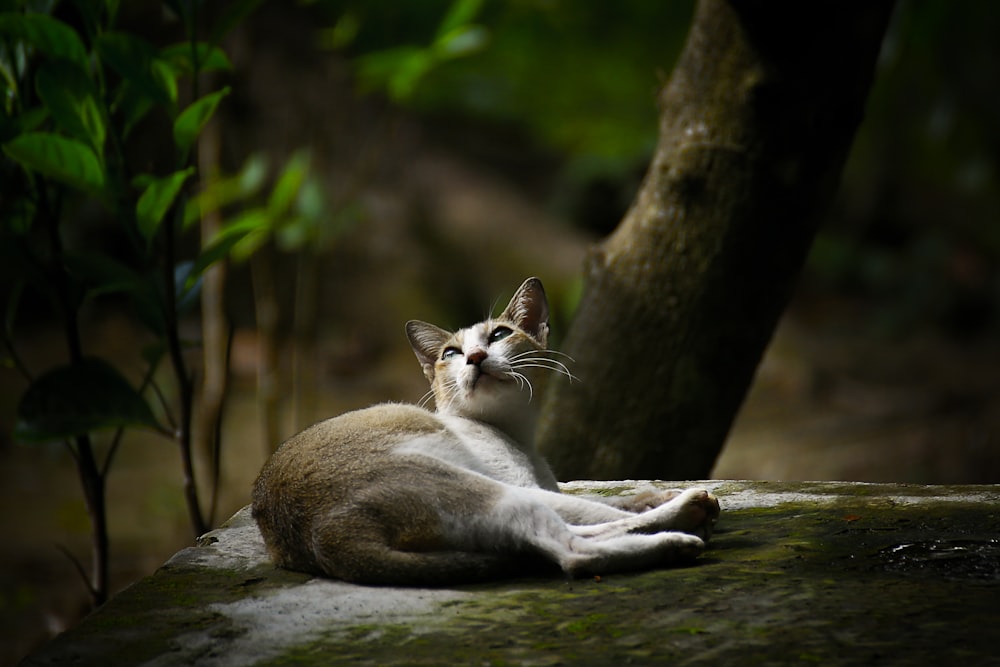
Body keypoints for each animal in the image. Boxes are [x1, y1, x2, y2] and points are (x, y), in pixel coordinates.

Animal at [250, 276, 720, 584]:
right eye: (451, 354)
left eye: (499, 335)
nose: (475, 357)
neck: (518, 434)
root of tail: (320, 537)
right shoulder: (523, 483)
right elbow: (598, 508)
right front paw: (666, 505)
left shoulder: (545, 486)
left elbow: (608, 501)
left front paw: (648, 496)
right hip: (488, 490)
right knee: (572, 551)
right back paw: (683, 526)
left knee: (564, 537)